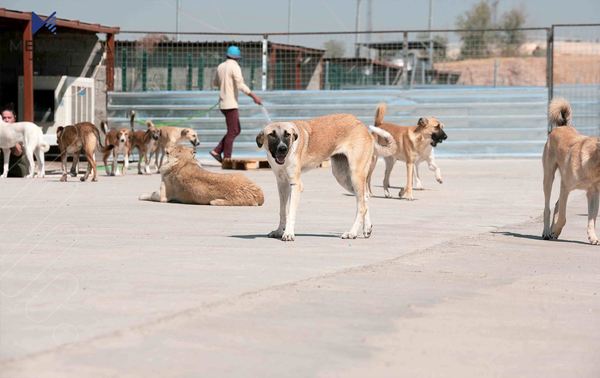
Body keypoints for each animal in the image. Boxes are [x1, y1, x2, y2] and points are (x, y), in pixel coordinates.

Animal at [255, 113, 396, 241]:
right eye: (272, 134)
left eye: (287, 134)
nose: (283, 149)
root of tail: (362, 126)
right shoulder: (282, 184)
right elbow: (282, 211)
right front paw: (279, 231)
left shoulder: (295, 185)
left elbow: (290, 212)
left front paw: (288, 233)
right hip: (343, 176)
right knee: (365, 198)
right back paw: (367, 228)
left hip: (355, 175)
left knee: (361, 206)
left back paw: (352, 233)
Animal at [540, 97, 600, 245]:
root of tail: (561, 126)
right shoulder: (565, 187)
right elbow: (563, 216)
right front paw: (555, 230)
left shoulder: (593, 194)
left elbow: (592, 219)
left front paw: (593, 237)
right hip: (548, 178)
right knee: (547, 208)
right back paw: (547, 232)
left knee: (556, 204)